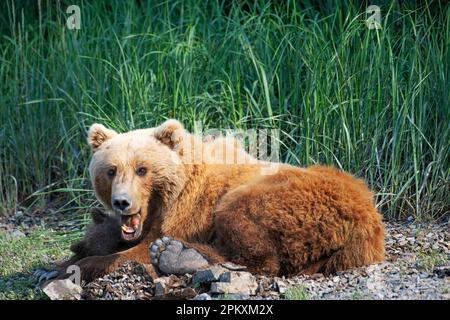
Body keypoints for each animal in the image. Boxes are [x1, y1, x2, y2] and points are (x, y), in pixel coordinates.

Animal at [37, 120, 384, 282]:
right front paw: (54, 266)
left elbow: (137, 250)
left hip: (290, 196)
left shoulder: (188, 210)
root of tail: (369, 219)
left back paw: (178, 254)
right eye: (111, 170)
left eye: (142, 169)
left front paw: (73, 267)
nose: (122, 202)